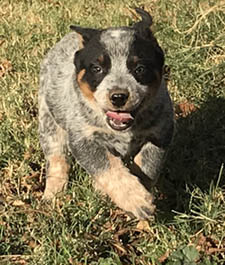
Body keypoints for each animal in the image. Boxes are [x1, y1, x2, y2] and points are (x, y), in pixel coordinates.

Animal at [38, 8, 174, 219]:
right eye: (97, 68)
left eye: (140, 68)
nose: (118, 96)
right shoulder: (83, 139)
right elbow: (107, 168)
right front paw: (136, 200)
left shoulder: (160, 133)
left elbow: (147, 166)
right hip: (49, 123)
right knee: (56, 160)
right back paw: (53, 193)